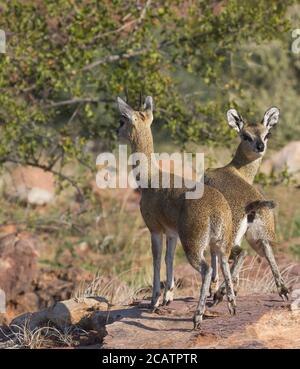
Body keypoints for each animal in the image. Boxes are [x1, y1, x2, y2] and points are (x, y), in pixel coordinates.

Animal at [116, 95, 238, 324]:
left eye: (122, 120)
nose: (116, 131)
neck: (149, 179)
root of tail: (216, 211)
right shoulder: (172, 233)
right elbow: (169, 258)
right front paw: (168, 297)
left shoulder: (154, 229)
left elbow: (156, 258)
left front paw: (154, 300)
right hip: (219, 243)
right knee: (224, 264)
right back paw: (232, 306)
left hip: (193, 244)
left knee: (206, 269)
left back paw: (197, 316)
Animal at [205, 107, 290, 302]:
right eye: (246, 135)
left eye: (267, 134)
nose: (260, 147)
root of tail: (253, 204)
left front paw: (215, 288)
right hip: (259, 236)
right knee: (266, 250)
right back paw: (283, 290)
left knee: (239, 253)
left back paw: (220, 294)